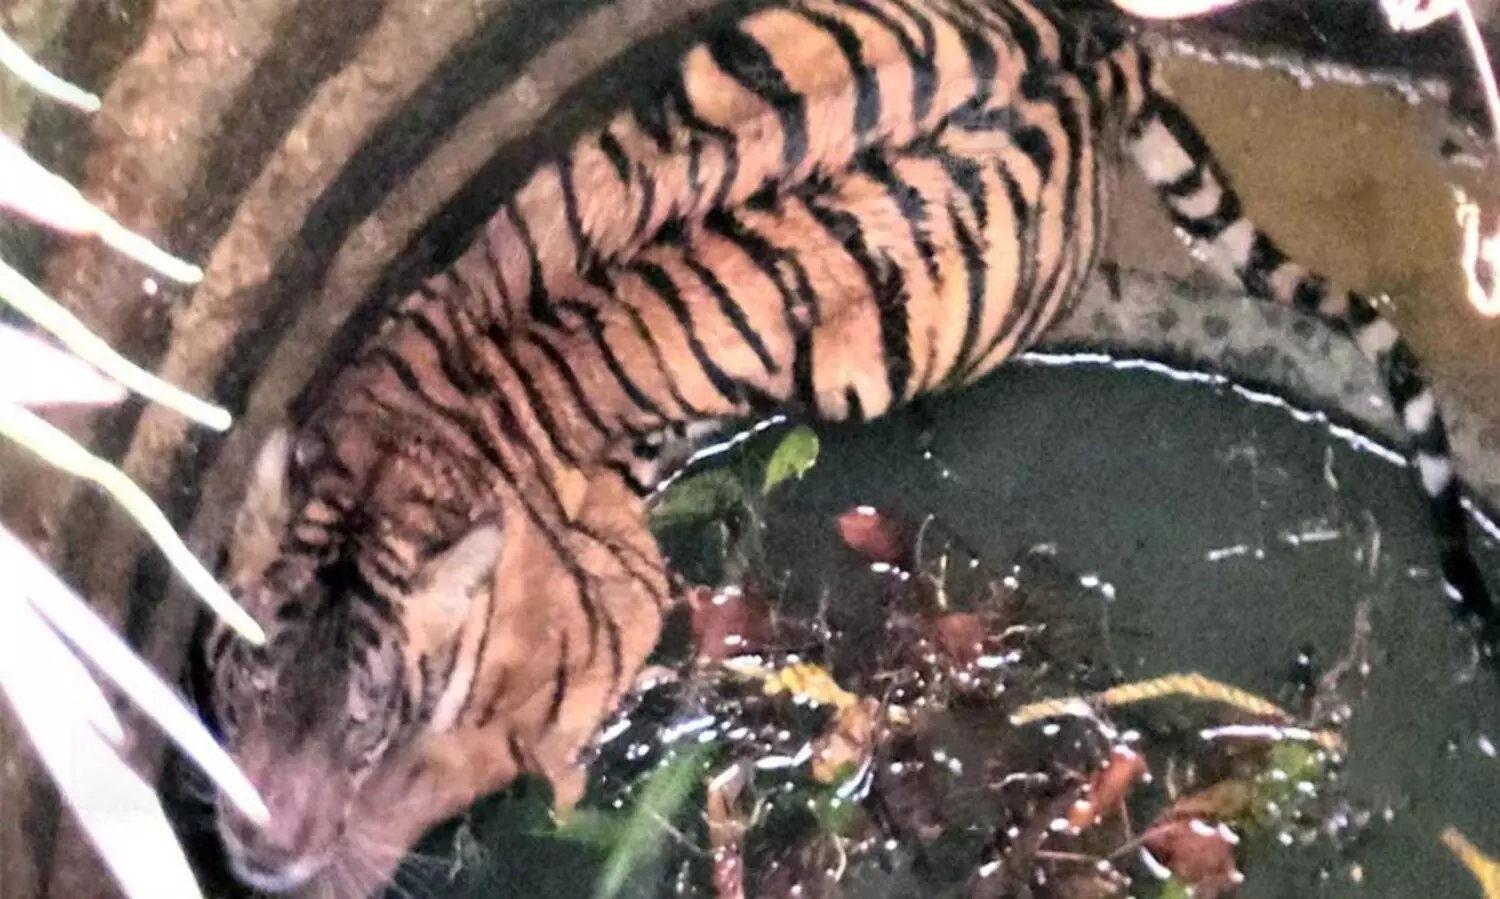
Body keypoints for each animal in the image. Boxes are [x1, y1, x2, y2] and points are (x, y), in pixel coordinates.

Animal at [203, 0, 1497, 895]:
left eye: (366, 729)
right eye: (242, 686)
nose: (260, 855)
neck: (391, 465)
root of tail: (1097, 50)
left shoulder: (614, 615)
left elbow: (501, 754)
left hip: (885, 347)